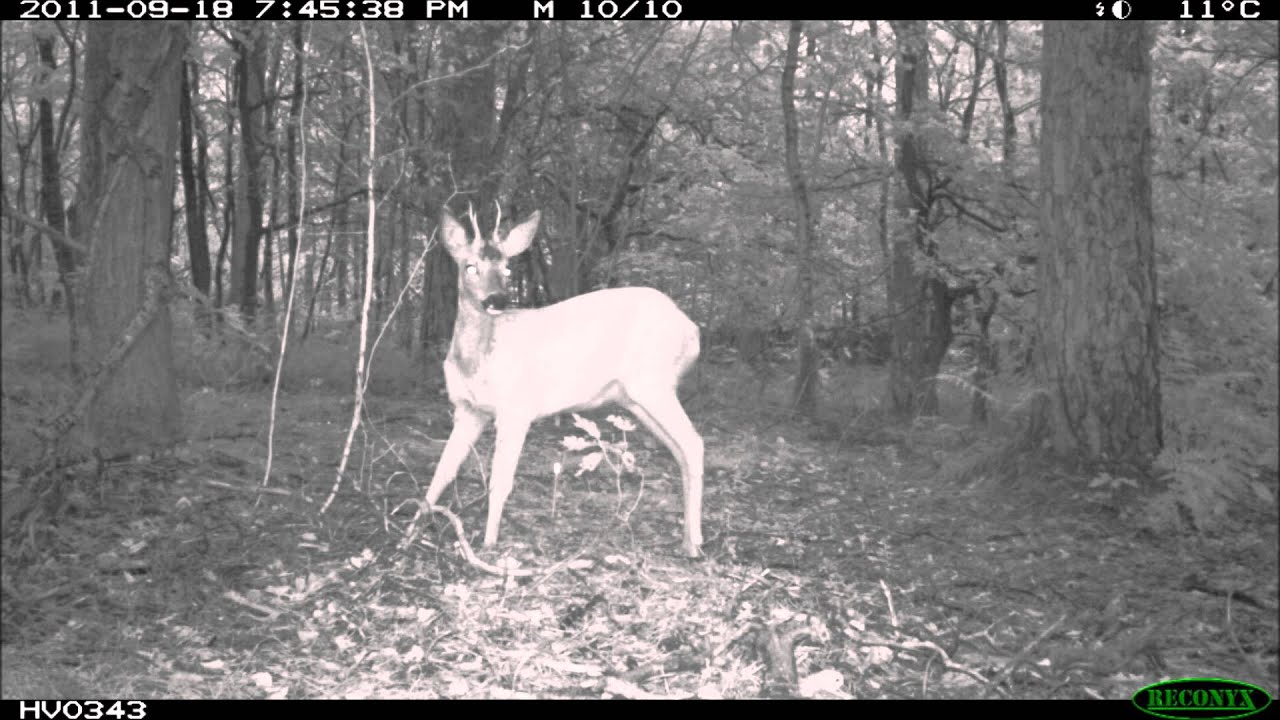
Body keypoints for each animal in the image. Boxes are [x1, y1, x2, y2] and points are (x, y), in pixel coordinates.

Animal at [419, 206, 705, 558]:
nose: (497, 299)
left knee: (694, 442)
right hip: (635, 398)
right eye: (470, 266)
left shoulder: (517, 408)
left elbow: (501, 480)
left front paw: (487, 545)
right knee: (679, 449)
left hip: (653, 383)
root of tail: (693, 329)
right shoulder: (468, 409)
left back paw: (695, 543)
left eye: (507, 268)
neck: (478, 361)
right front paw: (409, 530)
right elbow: (441, 471)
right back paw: (687, 539)